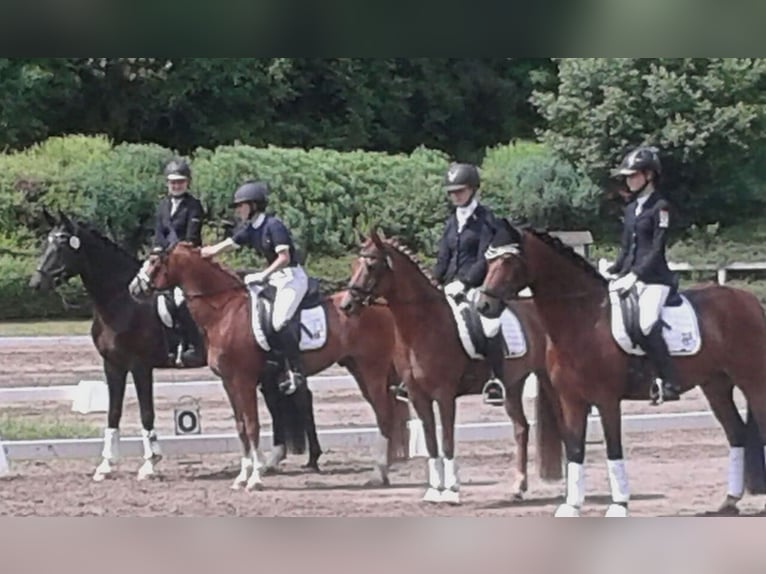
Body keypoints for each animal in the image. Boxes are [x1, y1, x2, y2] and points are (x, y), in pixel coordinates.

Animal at [129, 241, 412, 492]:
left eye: (154, 262)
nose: (134, 288)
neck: (224, 310)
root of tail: (381, 305)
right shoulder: (229, 382)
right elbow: (241, 427)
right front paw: (242, 477)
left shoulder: (243, 380)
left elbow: (252, 425)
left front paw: (255, 478)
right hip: (358, 369)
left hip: (372, 369)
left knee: (384, 414)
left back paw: (379, 472)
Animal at [342, 232, 564, 506]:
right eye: (354, 265)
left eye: (371, 266)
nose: (346, 305)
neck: (422, 327)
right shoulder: (418, 397)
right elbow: (431, 442)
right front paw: (433, 491)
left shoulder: (445, 395)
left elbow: (447, 441)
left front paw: (450, 491)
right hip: (513, 385)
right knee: (521, 429)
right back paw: (517, 487)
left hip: (549, 379)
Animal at [476, 219, 766, 516]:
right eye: (489, 260)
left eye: (509, 260)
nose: (483, 305)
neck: (584, 319)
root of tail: (750, 301)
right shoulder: (571, 400)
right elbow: (575, 449)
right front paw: (571, 505)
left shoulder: (607, 400)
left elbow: (613, 449)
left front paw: (619, 505)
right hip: (716, 385)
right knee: (736, 433)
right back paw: (729, 501)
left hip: (754, 382)